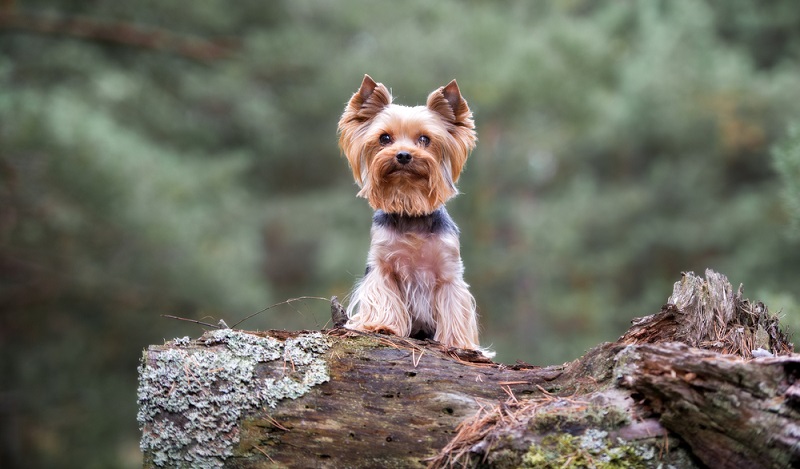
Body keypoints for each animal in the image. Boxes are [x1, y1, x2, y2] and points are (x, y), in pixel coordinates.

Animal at [338, 75, 488, 352]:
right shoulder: (381, 265)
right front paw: (381, 325)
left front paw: (456, 342)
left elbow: (453, 306)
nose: (403, 155)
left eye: (425, 139)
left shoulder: (448, 272)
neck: (410, 208)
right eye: (385, 138)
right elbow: (383, 294)